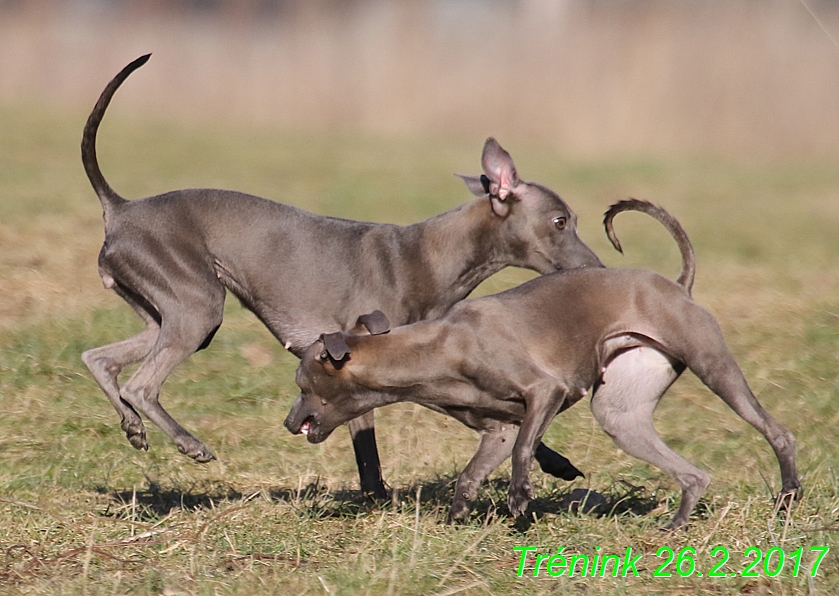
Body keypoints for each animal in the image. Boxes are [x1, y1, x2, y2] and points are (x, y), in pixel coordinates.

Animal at [83, 54, 624, 494]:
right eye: (561, 221)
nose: (598, 270)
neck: (429, 254)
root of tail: (121, 207)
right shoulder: (366, 361)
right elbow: (369, 445)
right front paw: (376, 496)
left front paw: (556, 464)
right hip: (198, 309)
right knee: (141, 385)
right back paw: (187, 442)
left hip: (166, 315)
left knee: (99, 360)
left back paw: (133, 427)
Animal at [288, 203, 800, 528]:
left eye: (301, 383)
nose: (289, 423)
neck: (436, 347)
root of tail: (676, 284)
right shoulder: (497, 428)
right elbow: (470, 475)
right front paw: (457, 521)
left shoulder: (546, 391)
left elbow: (523, 451)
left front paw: (519, 497)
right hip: (620, 414)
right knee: (694, 475)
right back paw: (675, 525)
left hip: (713, 365)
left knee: (779, 433)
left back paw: (788, 497)